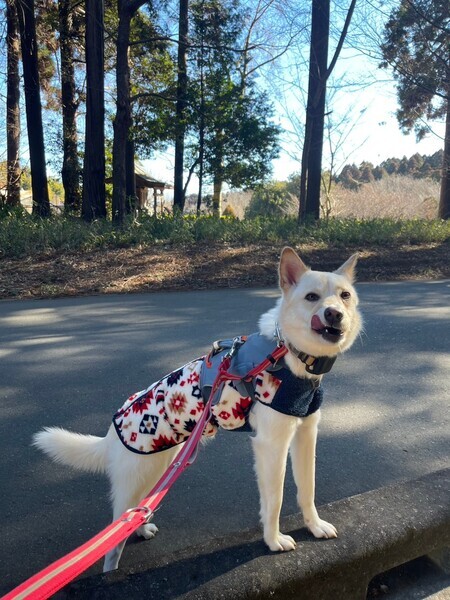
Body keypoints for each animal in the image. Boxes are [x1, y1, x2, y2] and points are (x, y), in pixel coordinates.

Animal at [34, 247, 362, 572]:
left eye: (344, 295)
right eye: (311, 297)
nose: (334, 314)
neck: (289, 354)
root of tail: (112, 431)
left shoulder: (306, 435)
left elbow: (308, 488)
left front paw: (314, 526)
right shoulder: (271, 445)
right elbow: (276, 499)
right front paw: (273, 540)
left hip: (160, 466)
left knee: (134, 513)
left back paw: (141, 527)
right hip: (137, 476)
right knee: (113, 537)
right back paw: (111, 572)